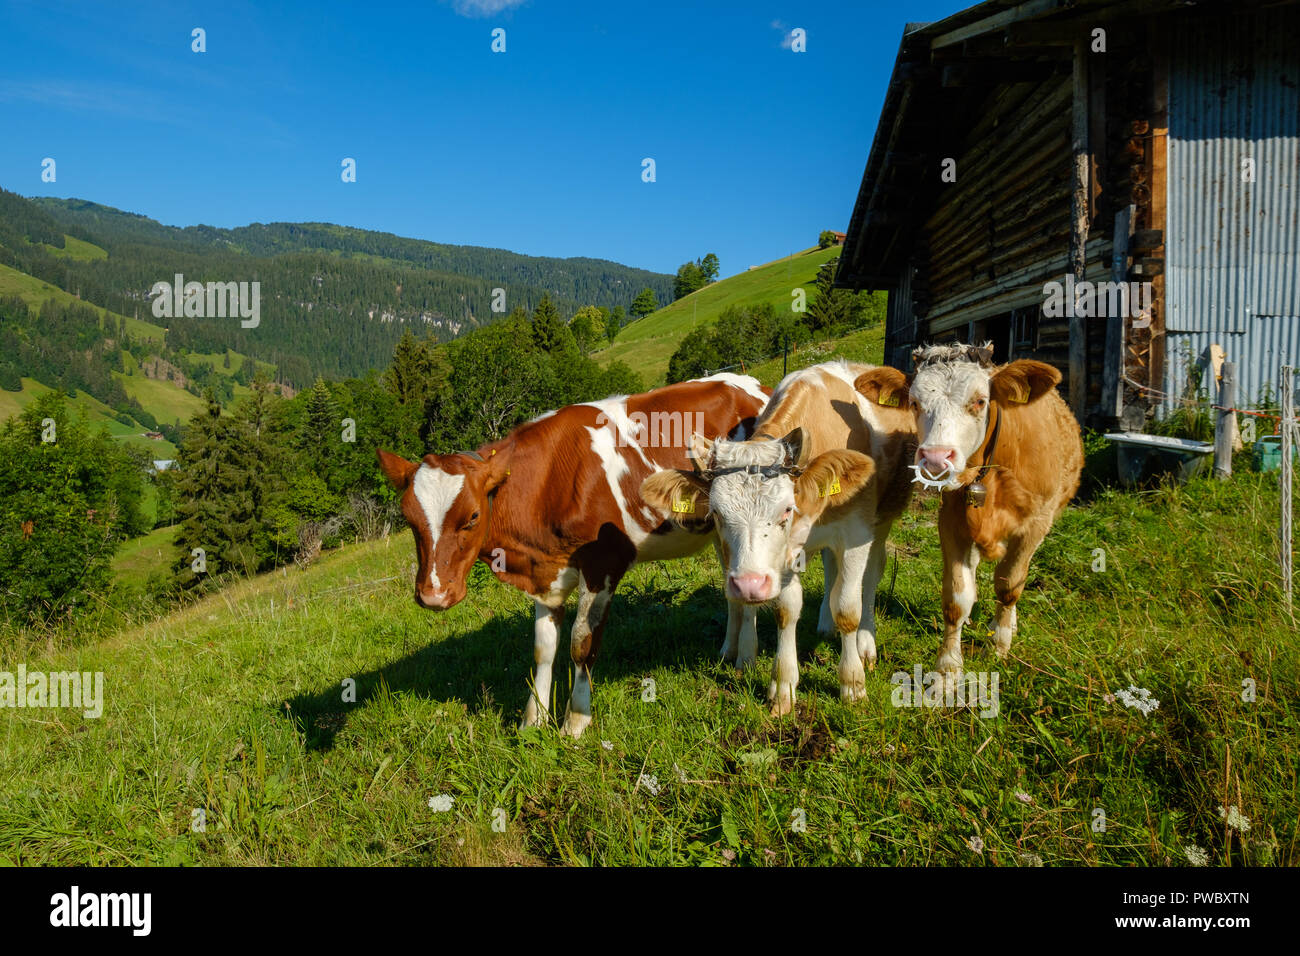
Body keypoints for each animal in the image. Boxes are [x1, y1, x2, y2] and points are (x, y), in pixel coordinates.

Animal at [376, 373, 769, 737]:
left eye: (472, 516)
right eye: (409, 519)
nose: (433, 595)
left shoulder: (603, 562)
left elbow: (582, 643)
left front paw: (575, 722)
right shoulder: (544, 570)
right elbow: (543, 648)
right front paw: (533, 720)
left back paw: (745, 659)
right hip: (719, 528)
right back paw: (728, 651)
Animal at [641, 361, 916, 715]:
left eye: (786, 509)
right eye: (716, 513)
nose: (749, 585)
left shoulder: (856, 531)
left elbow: (848, 608)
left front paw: (852, 684)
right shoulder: (784, 554)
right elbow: (786, 610)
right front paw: (783, 686)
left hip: (883, 520)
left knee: (871, 576)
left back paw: (866, 645)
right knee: (830, 567)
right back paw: (824, 624)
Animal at [853, 343, 1083, 689]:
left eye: (979, 401)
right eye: (914, 403)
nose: (936, 459)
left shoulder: (1034, 525)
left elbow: (1010, 585)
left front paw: (999, 644)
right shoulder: (952, 523)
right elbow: (956, 598)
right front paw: (947, 671)